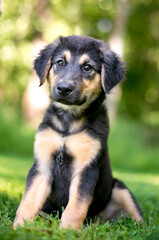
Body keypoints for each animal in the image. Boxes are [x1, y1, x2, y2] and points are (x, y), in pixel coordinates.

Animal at [13, 35, 143, 229]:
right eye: (60, 62)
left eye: (87, 67)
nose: (64, 89)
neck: (68, 123)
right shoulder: (42, 165)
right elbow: (27, 202)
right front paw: (18, 228)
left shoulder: (86, 169)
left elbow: (76, 207)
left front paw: (67, 231)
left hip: (120, 188)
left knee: (138, 218)